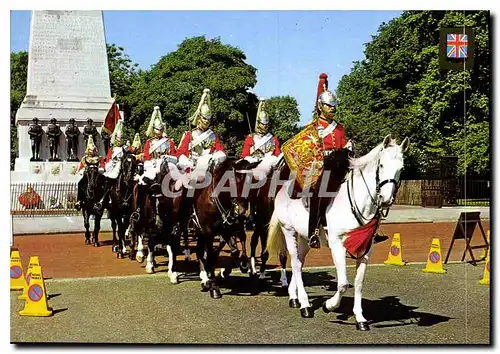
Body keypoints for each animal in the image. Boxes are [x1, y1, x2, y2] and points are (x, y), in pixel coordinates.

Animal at [268, 135, 408, 330]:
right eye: (381, 165)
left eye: (401, 168)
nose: (386, 199)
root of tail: (283, 188)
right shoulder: (337, 244)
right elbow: (343, 283)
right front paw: (329, 305)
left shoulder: (366, 248)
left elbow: (358, 283)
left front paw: (360, 318)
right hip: (288, 231)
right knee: (295, 264)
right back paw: (305, 305)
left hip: (305, 238)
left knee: (300, 263)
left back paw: (294, 297)